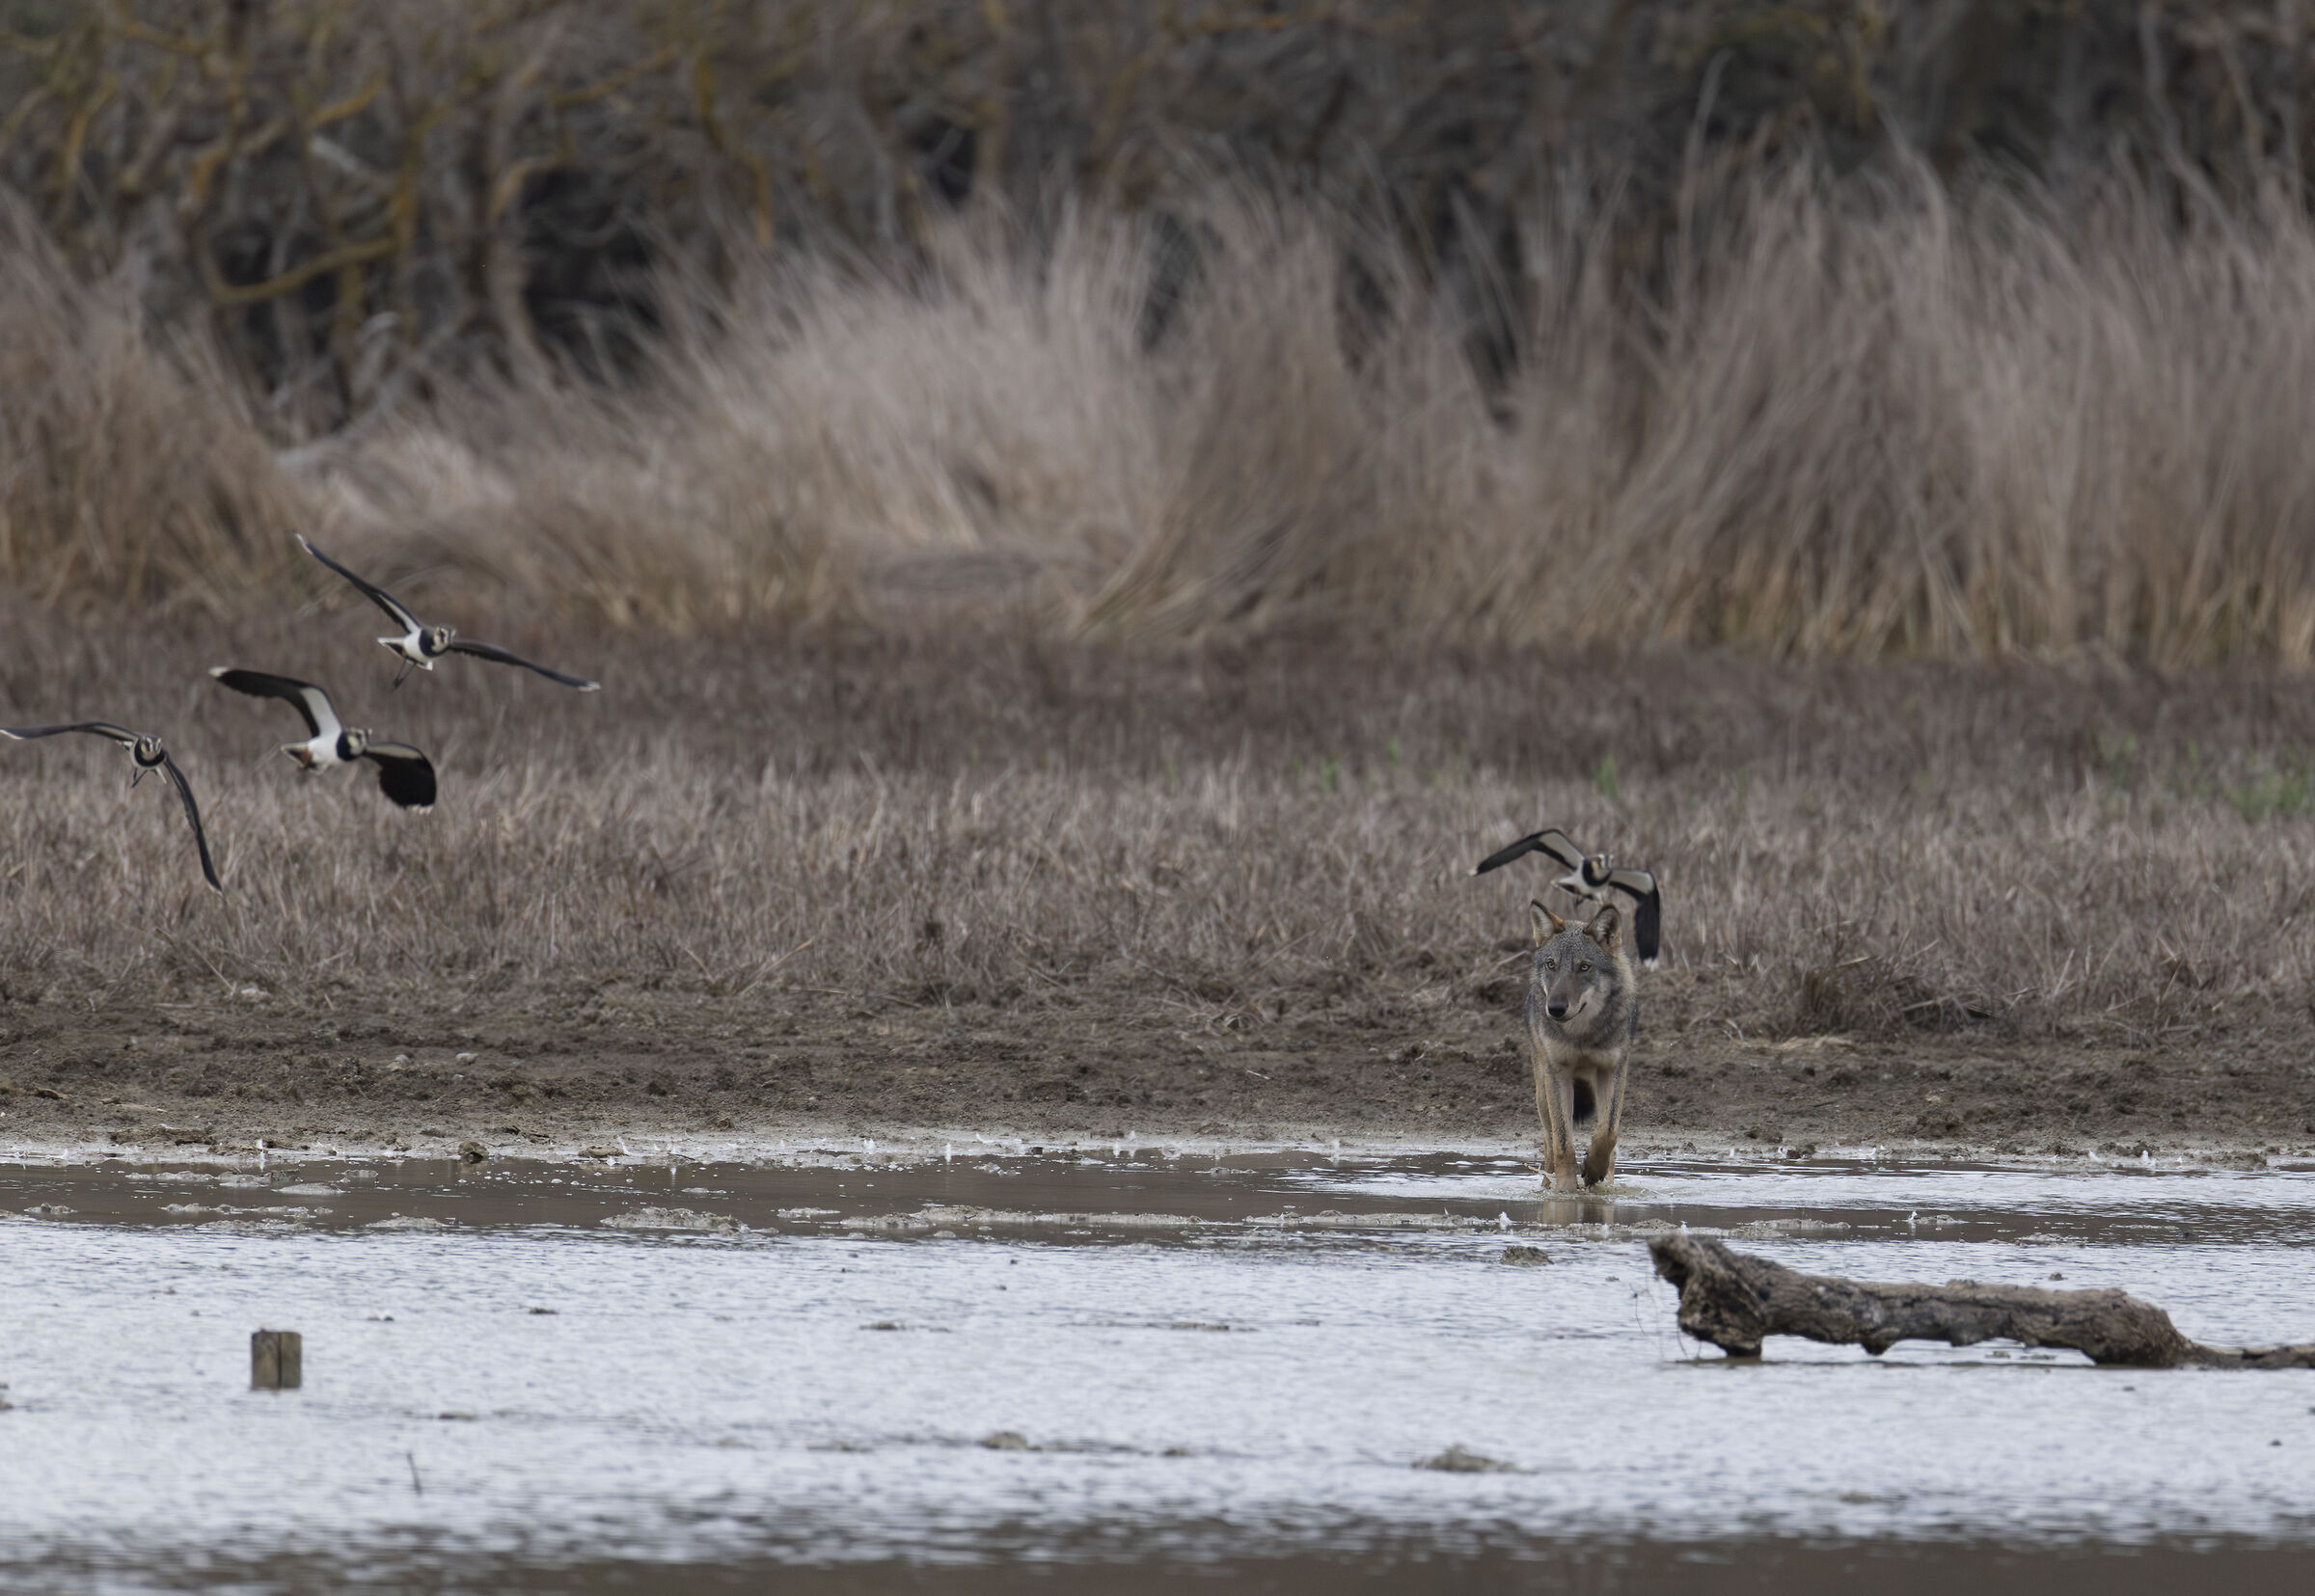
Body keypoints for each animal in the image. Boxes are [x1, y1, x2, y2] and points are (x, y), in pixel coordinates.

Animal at [1523, 900, 1639, 1191]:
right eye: (1551, 964)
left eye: (1584, 967)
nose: (1555, 1008)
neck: (1582, 1034)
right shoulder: (1557, 1073)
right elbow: (1564, 1143)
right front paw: (1565, 1191)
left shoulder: (1613, 1070)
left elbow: (1608, 1132)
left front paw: (1594, 1171)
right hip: (1543, 1093)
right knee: (1549, 1142)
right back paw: (1548, 1184)